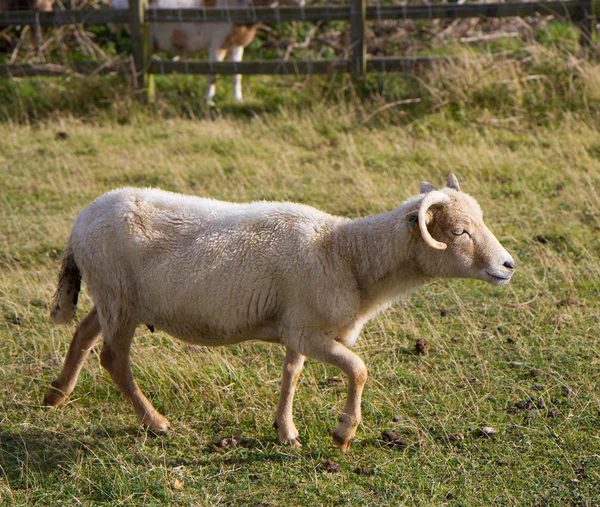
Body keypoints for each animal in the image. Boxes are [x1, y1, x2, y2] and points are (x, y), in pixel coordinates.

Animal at [45, 175, 516, 452]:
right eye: (459, 231)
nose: (509, 265)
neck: (347, 255)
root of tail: (81, 220)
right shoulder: (310, 331)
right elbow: (358, 369)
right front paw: (343, 433)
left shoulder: (297, 327)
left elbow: (292, 374)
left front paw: (285, 430)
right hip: (118, 296)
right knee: (113, 359)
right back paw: (154, 421)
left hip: (114, 297)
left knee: (84, 333)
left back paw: (56, 395)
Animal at [110, 0, 302, 102]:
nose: (302, 2)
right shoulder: (217, 45)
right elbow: (213, 73)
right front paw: (209, 101)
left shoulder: (236, 45)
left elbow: (236, 74)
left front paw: (238, 99)